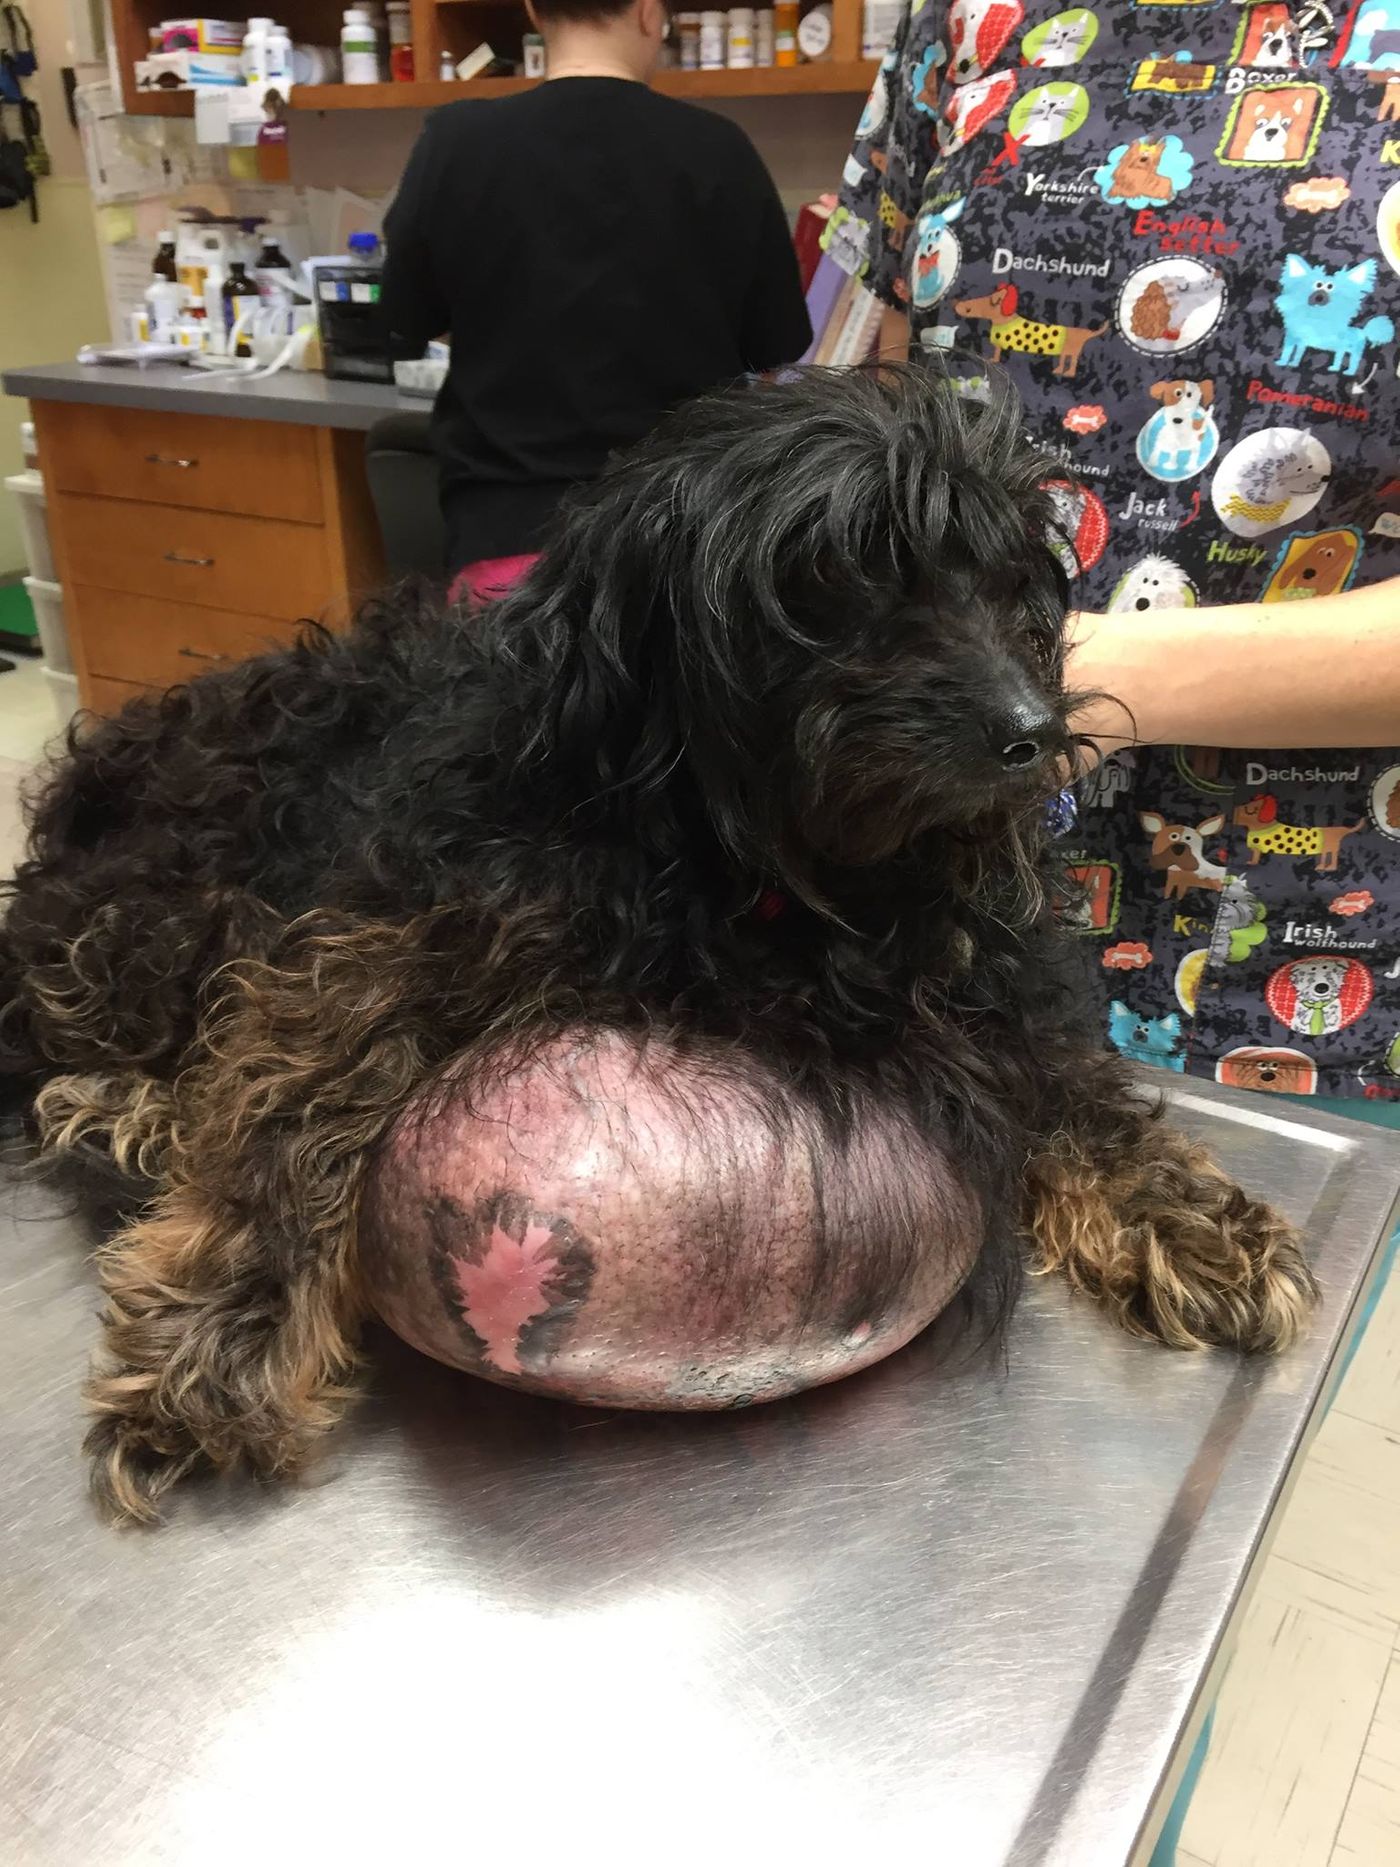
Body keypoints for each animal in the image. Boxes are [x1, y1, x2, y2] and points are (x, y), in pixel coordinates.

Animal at [0, 364, 1314, 1516]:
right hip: (166, 890)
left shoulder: (972, 963)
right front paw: (220, 1330)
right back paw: (122, 1107)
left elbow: (1068, 1082)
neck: (755, 870)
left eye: (1006, 588)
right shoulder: (391, 929)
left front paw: (1183, 1213)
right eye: (833, 579)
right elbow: (294, 1093)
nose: (1033, 733)